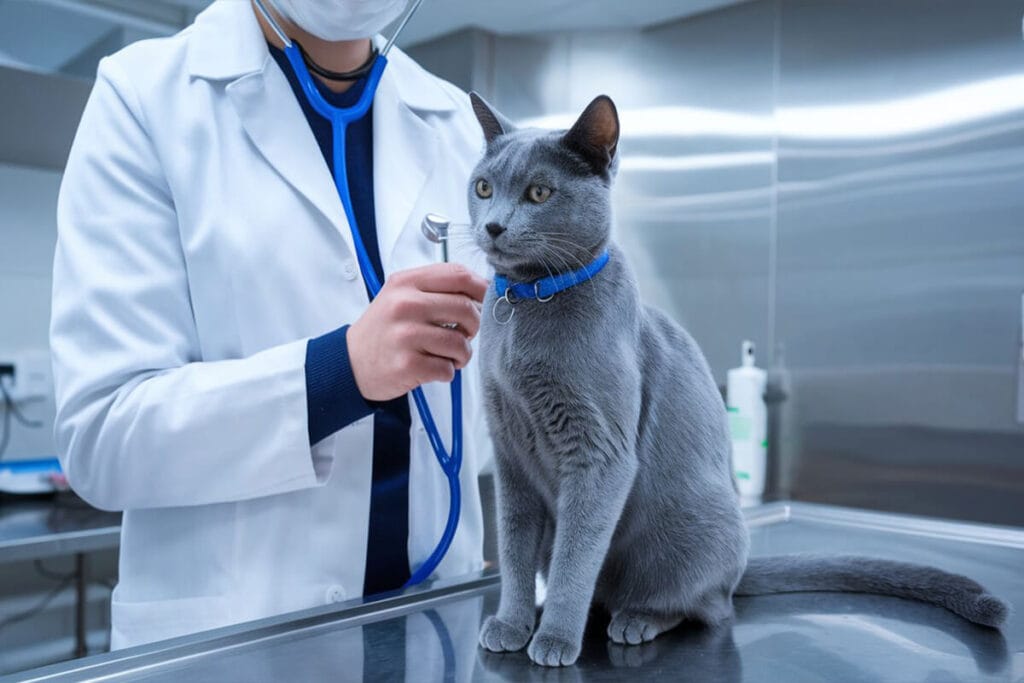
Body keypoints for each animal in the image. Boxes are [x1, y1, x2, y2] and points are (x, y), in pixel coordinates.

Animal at [468, 92, 1007, 667]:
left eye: (539, 192)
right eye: (483, 188)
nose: (494, 226)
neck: (525, 304)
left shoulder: (599, 452)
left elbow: (576, 557)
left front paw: (554, 640)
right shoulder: (510, 456)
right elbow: (515, 553)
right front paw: (512, 624)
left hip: (696, 530)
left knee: (705, 605)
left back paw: (637, 619)